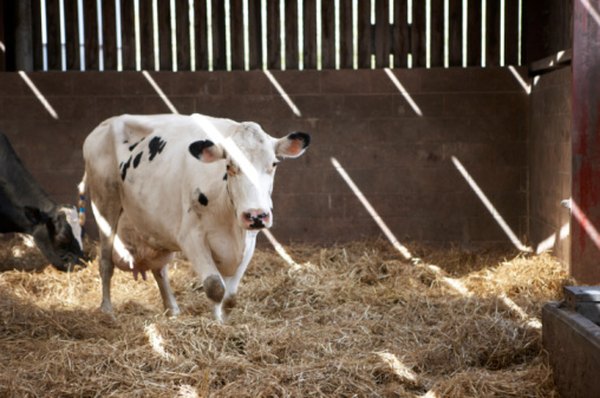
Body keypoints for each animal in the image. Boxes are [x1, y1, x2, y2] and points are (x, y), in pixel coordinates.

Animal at [80, 113, 312, 322]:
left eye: (274, 164)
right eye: (230, 166)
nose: (255, 215)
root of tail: (104, 124)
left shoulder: (249, 241)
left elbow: (230, 297)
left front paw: (226, 324)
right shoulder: (191, 237)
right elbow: (215, 287)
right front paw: (216, 326)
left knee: (160, 270)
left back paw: (172, 310)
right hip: (105, 205)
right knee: (106, 262)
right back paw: (107, 312)